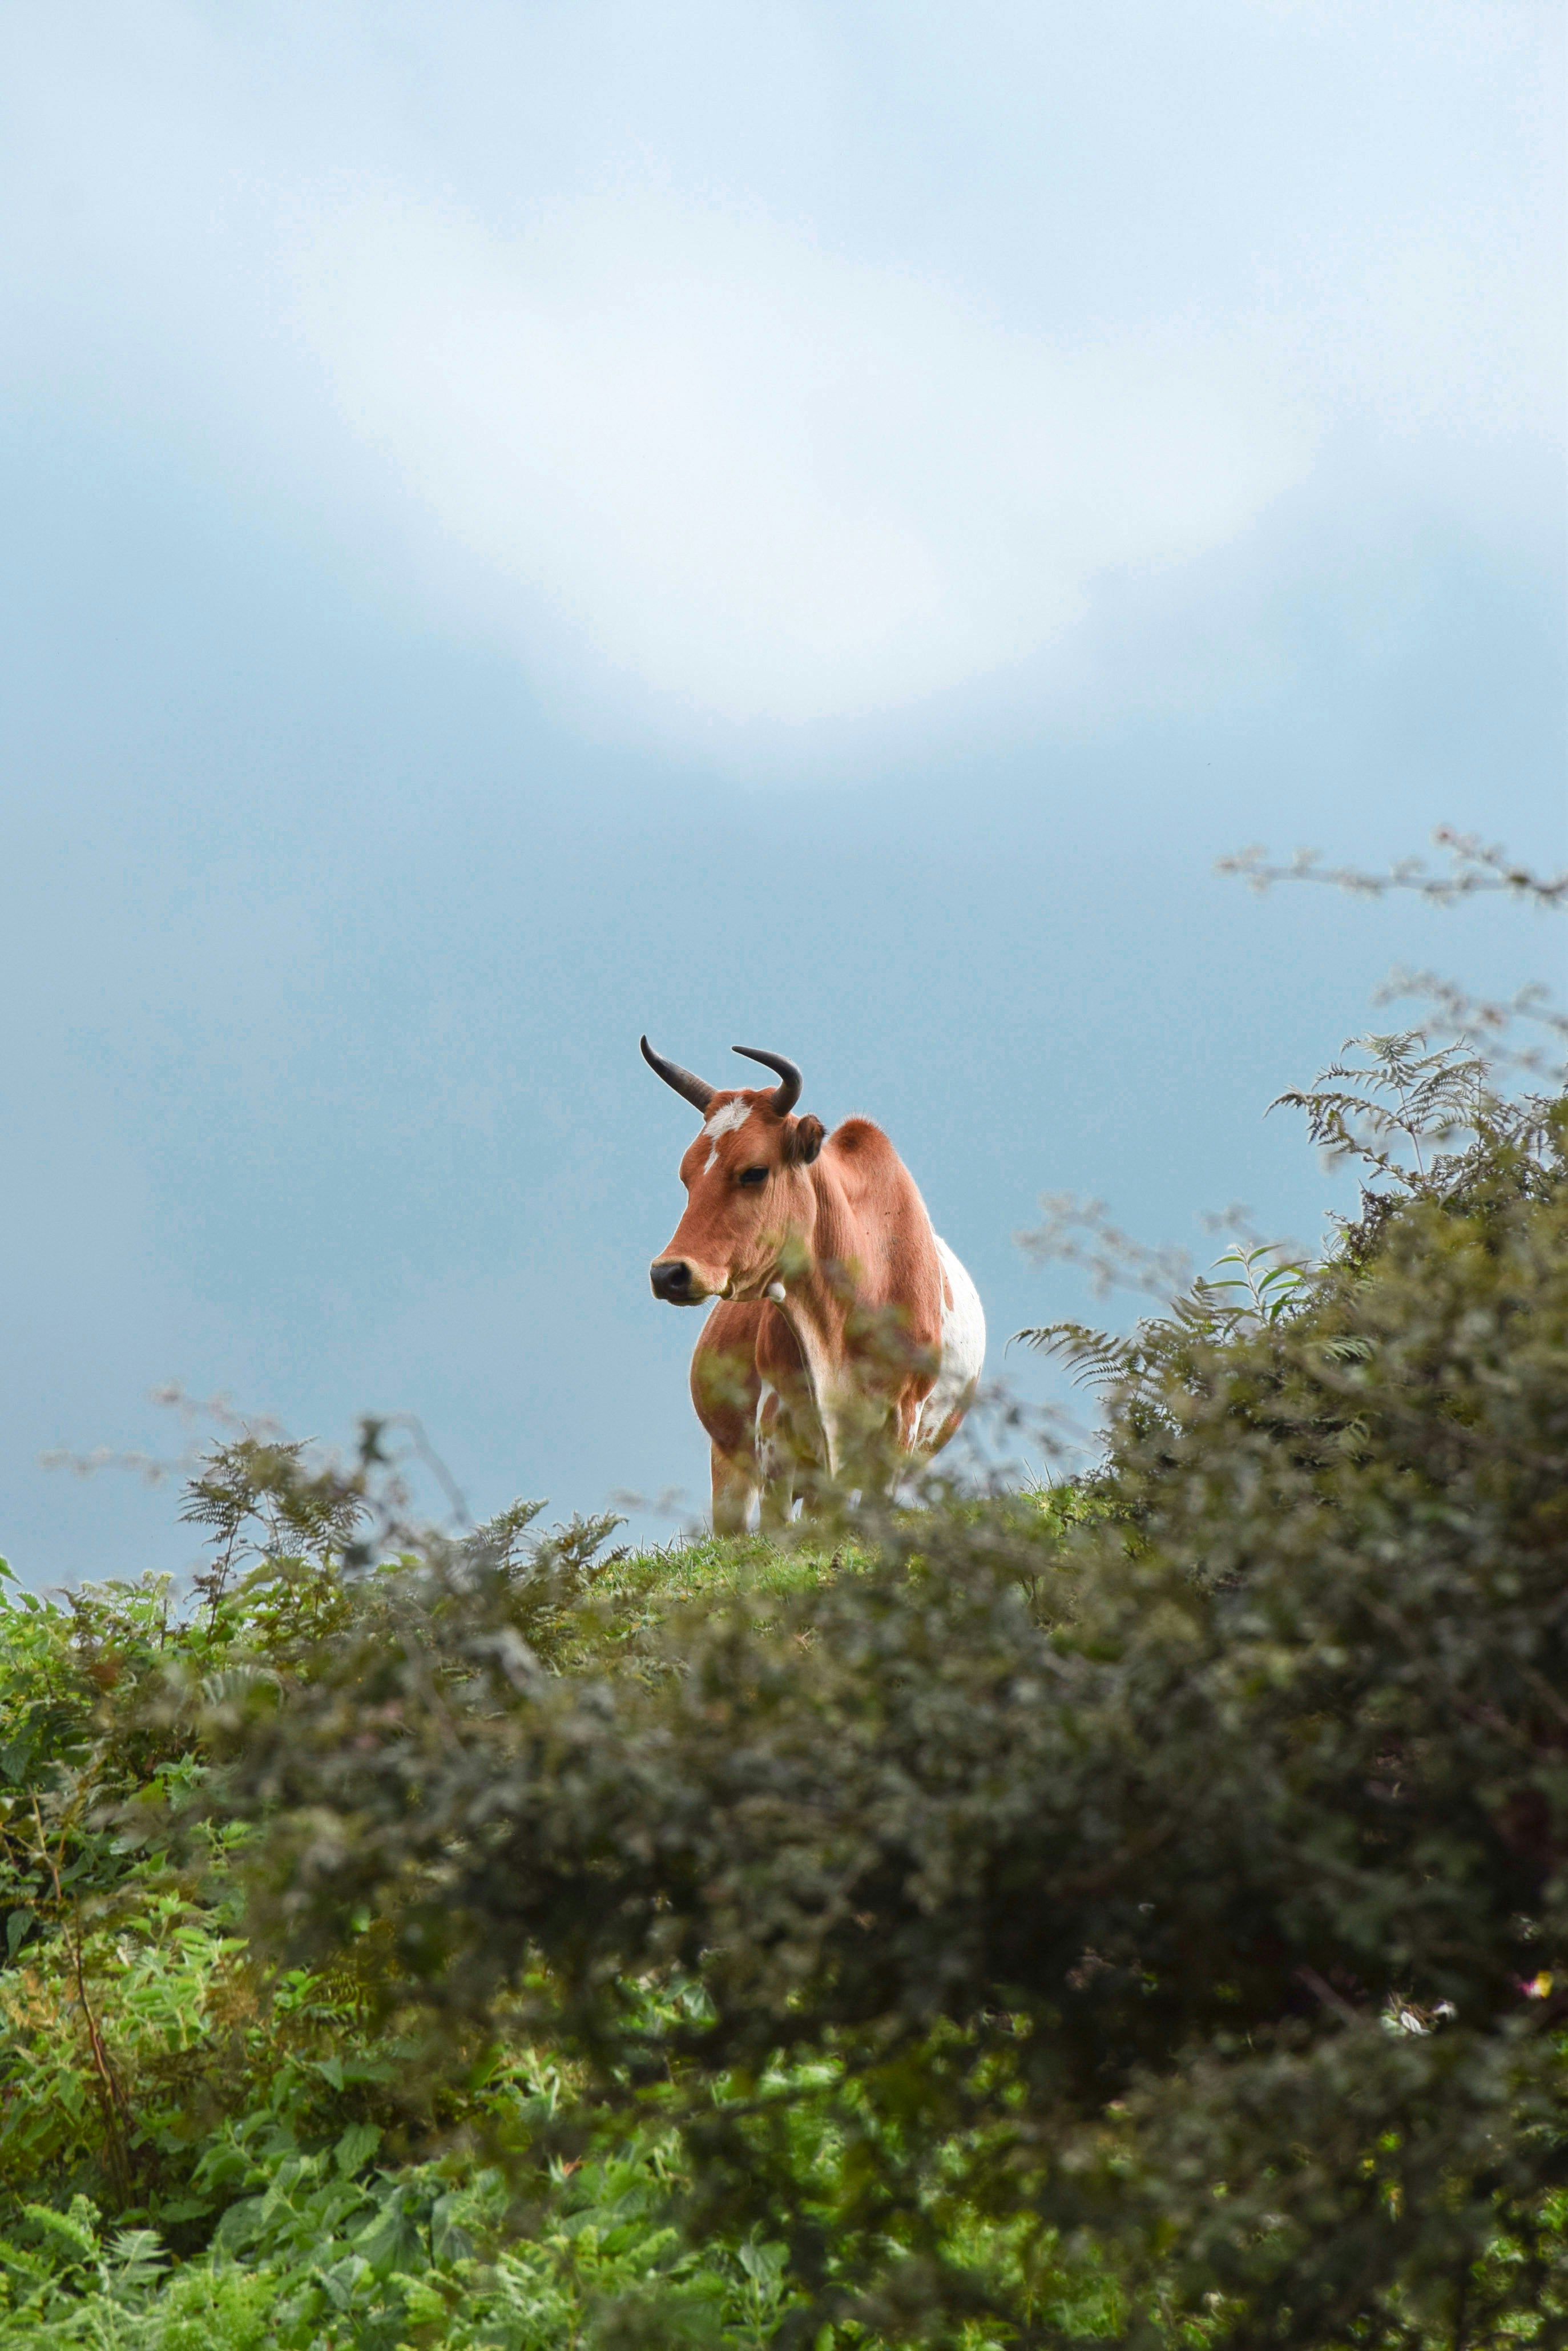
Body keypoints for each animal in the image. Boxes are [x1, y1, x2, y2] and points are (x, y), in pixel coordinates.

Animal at [641, 1037, 985, 1533]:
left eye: (754, 1171)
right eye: (687, 1176)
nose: (668, 1273)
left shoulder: (898, 1427)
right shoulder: (776, 1442)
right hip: (729, 1466)